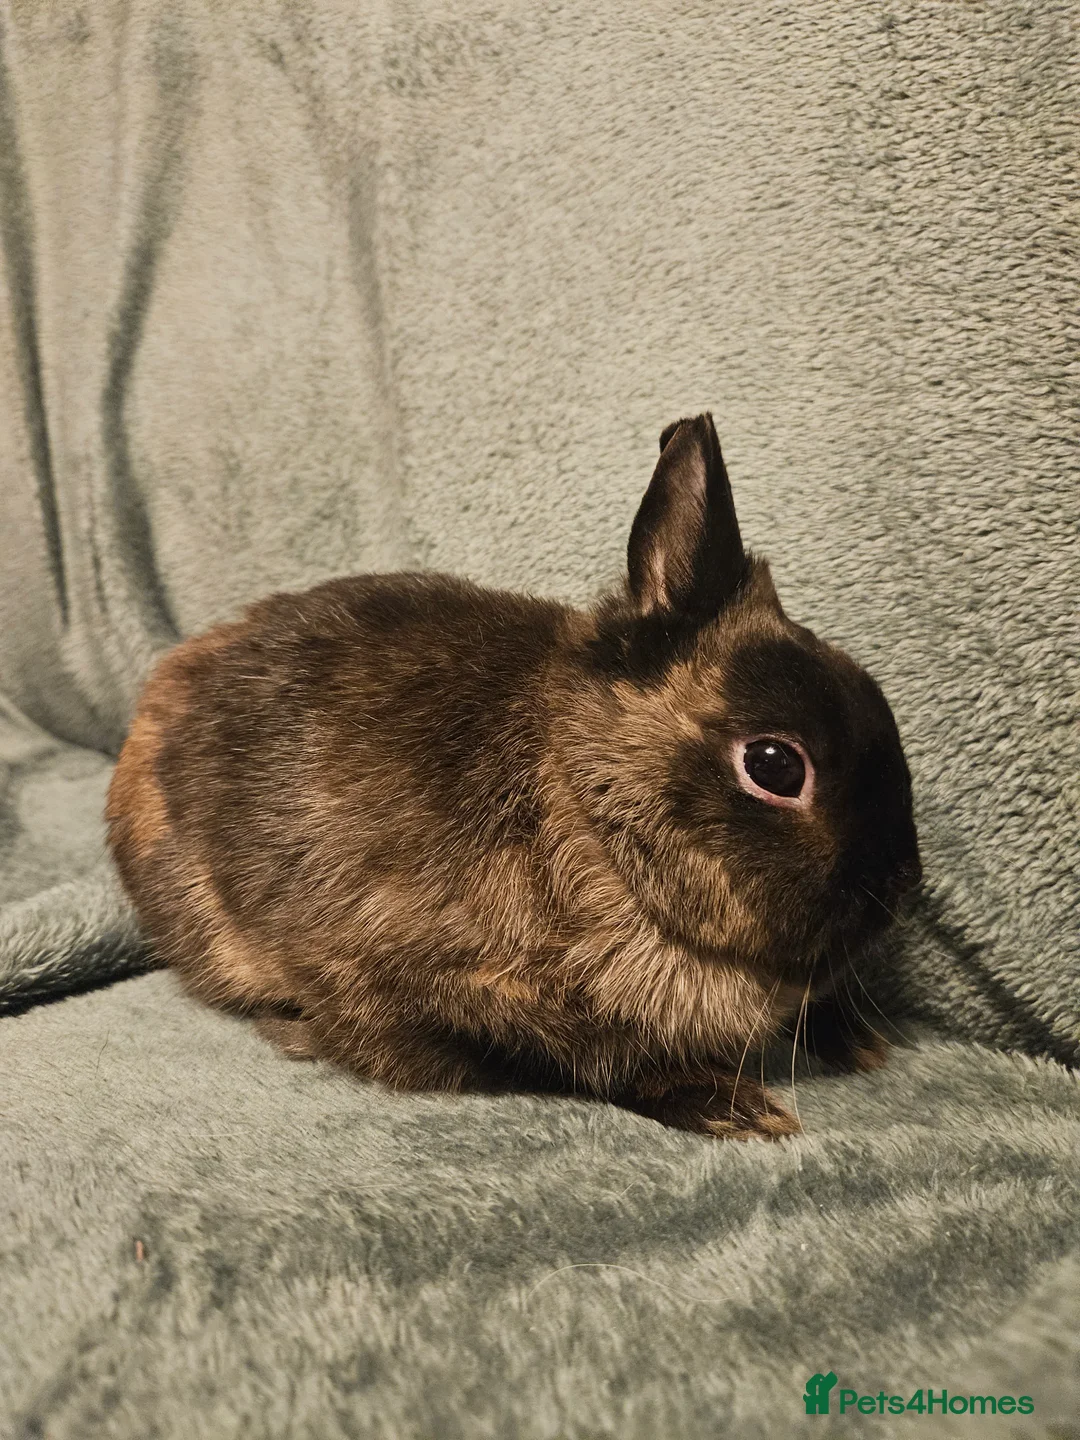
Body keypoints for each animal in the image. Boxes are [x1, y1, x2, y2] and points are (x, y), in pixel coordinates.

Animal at [106, 413, 921, 1139]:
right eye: (775, 765)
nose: (899, 890)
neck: (591, 812)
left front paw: (858, 1042)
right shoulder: (417, 983)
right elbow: (591, 1063)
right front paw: (736, 1108)